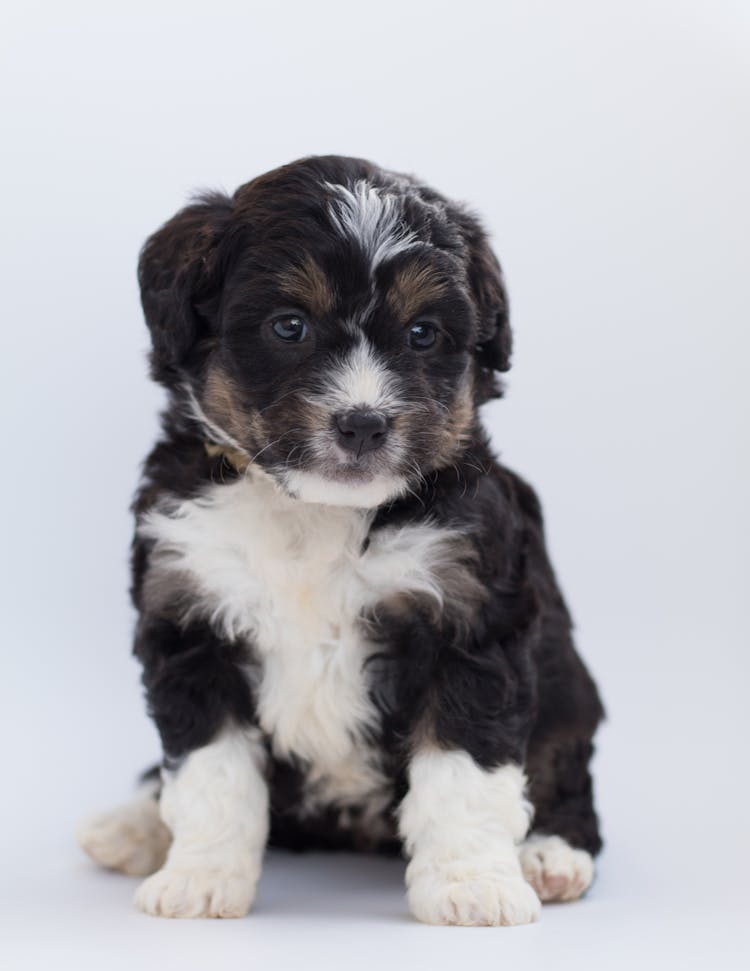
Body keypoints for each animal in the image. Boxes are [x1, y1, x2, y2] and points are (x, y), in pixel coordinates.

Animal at [76, 158, 604, 928]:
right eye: (289, 326)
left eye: (423, 334)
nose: (363, 423)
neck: (315, 510)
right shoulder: (190, 615)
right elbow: (211, 770)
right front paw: (201, 879)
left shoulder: (470, 618)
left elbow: (464, 769)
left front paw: (472, 884)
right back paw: (133, 825)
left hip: (571, 693)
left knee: (564, 768)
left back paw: (550, 855)